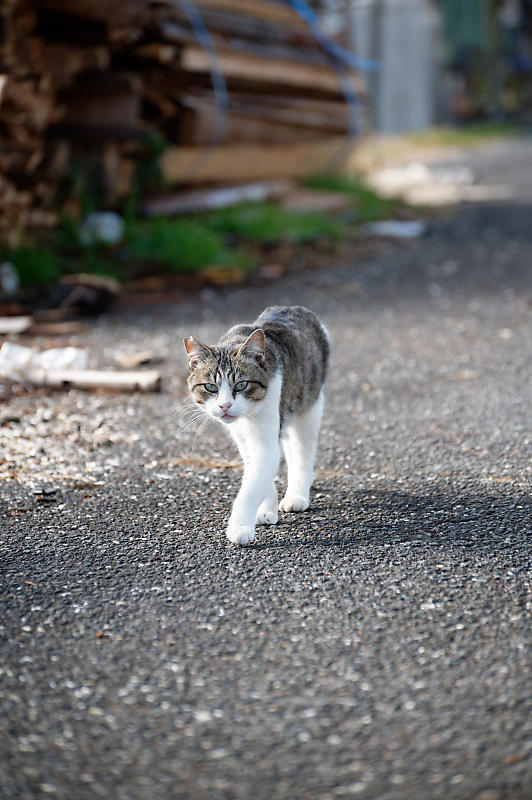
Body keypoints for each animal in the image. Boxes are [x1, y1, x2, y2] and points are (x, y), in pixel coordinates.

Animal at [184, 306, 328, 544]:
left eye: (242, 385)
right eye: (210, 387)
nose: (225, 405)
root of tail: (296, 308)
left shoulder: (266, 438)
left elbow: (251, 487)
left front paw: (240, 527)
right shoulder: (244, 438)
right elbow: (260, 474)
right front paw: (266, 509)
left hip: (309, 406)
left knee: (302, 453)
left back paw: (297, 495)